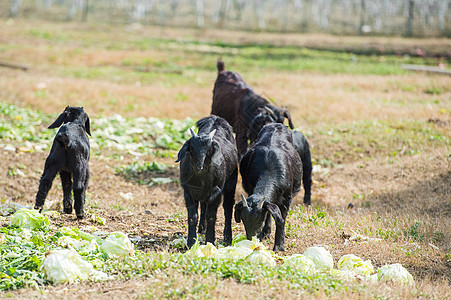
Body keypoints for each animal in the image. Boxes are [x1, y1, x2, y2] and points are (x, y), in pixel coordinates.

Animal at [177, 116, 240, 247]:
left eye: (209, 150)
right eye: (191, 149)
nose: (200, 167)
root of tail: (216, 118)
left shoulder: (216, 191)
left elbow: (211, 216)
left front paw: (210, 240)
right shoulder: (188, 191)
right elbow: (193, 216)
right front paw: (191, 242)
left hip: (231, 185)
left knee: (227, 208)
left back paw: (228, 238)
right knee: (203, 205)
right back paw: (201, 228)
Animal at [235, 122, 302, 251]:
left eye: (259, 221)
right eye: (244, 220)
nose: (251, 238)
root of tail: (276, 124)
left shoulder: (287, 199)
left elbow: (281, 219)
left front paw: (279, 245)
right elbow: (268, 214)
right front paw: (265, 234)